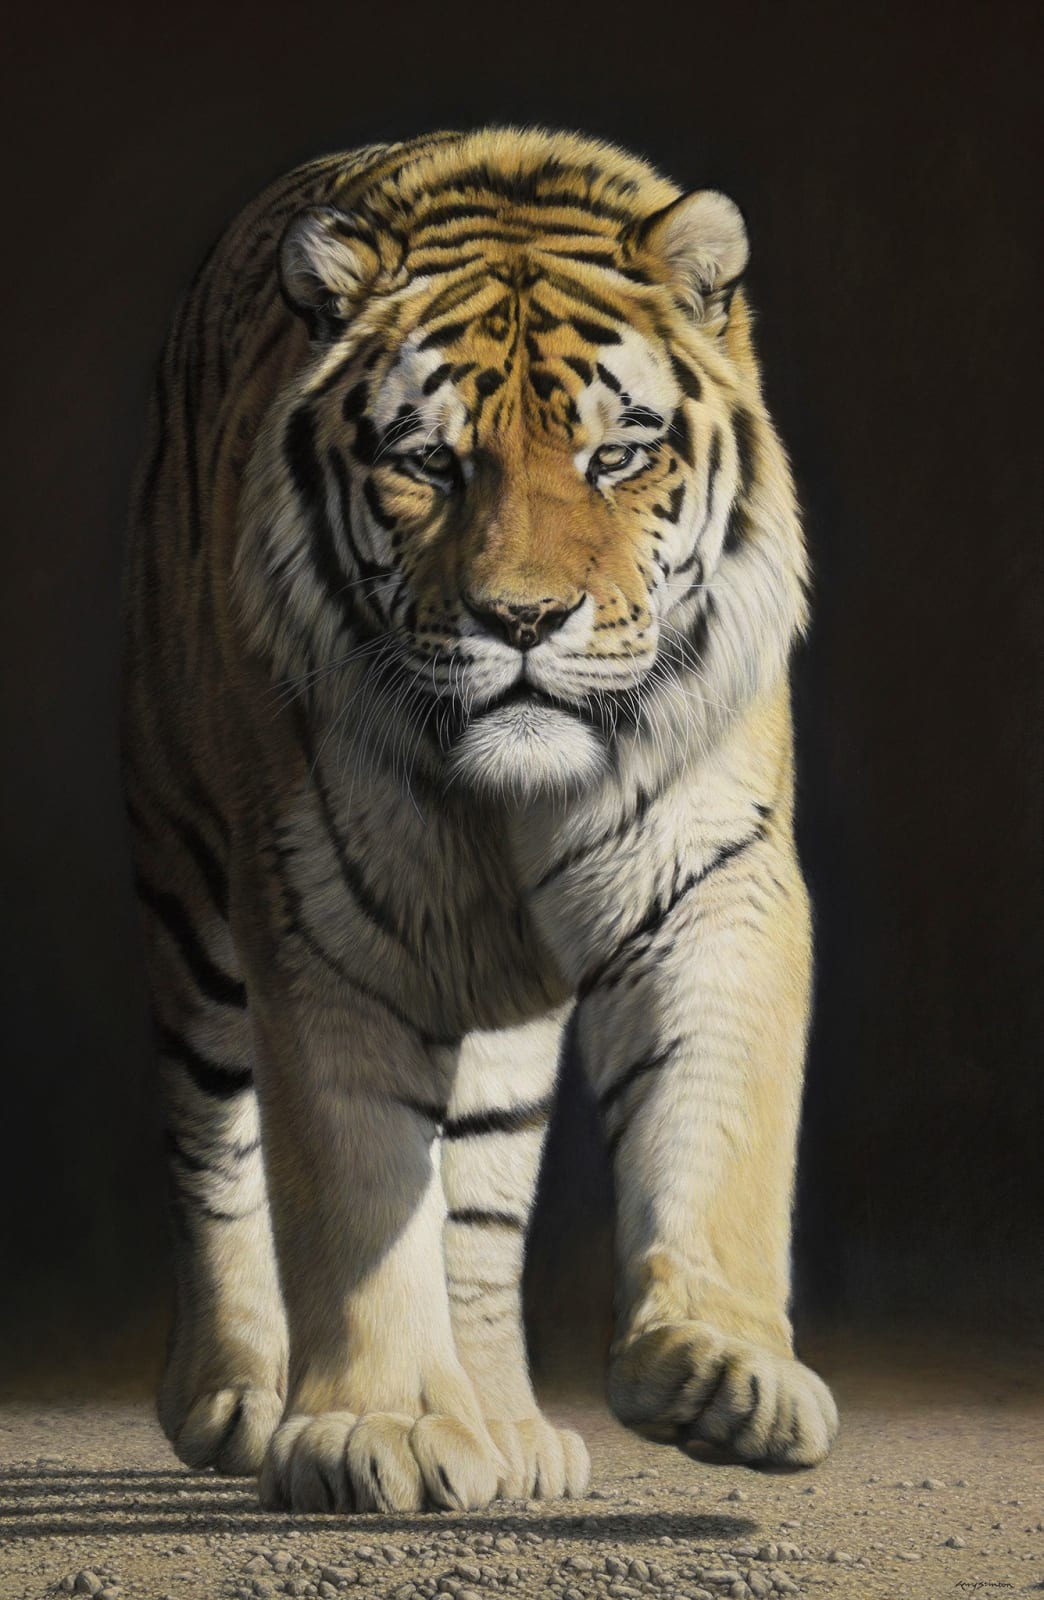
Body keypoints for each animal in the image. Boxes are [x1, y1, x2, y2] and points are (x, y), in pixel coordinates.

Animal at [121, 125, 838, 1513]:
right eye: (427, 462)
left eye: (619, 455)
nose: (523, 619)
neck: (514, 799)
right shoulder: (323, 918)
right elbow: (353, 1184)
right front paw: (381, 1426)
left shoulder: (716, 886)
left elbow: (721, 1127)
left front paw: (726, 1368)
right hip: (187, 884)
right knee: (211, 1140)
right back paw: (240, 1396)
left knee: (479, 1200)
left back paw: (507, 1427)